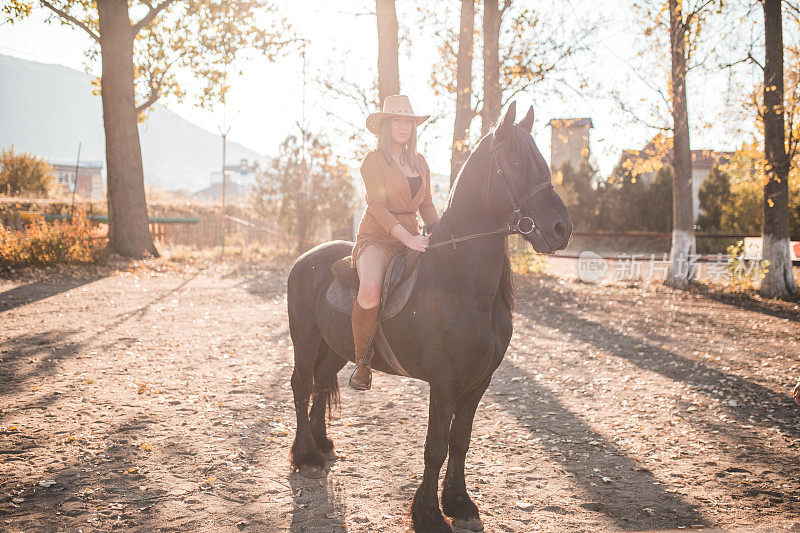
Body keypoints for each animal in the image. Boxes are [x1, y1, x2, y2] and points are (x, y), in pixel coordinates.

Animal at [284, 102, 572, 528]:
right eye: (517, 162)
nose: (560, 229)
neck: (460, 280)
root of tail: (307, 257)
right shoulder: (445, 382)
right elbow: (435, 445)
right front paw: (429, 514)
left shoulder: (479, 381)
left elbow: (460, 440)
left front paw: (460, 503)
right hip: (305, 340)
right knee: (302, 386)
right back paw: (305, 458)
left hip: (336, 347)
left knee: (320, 384)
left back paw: (322, 446)